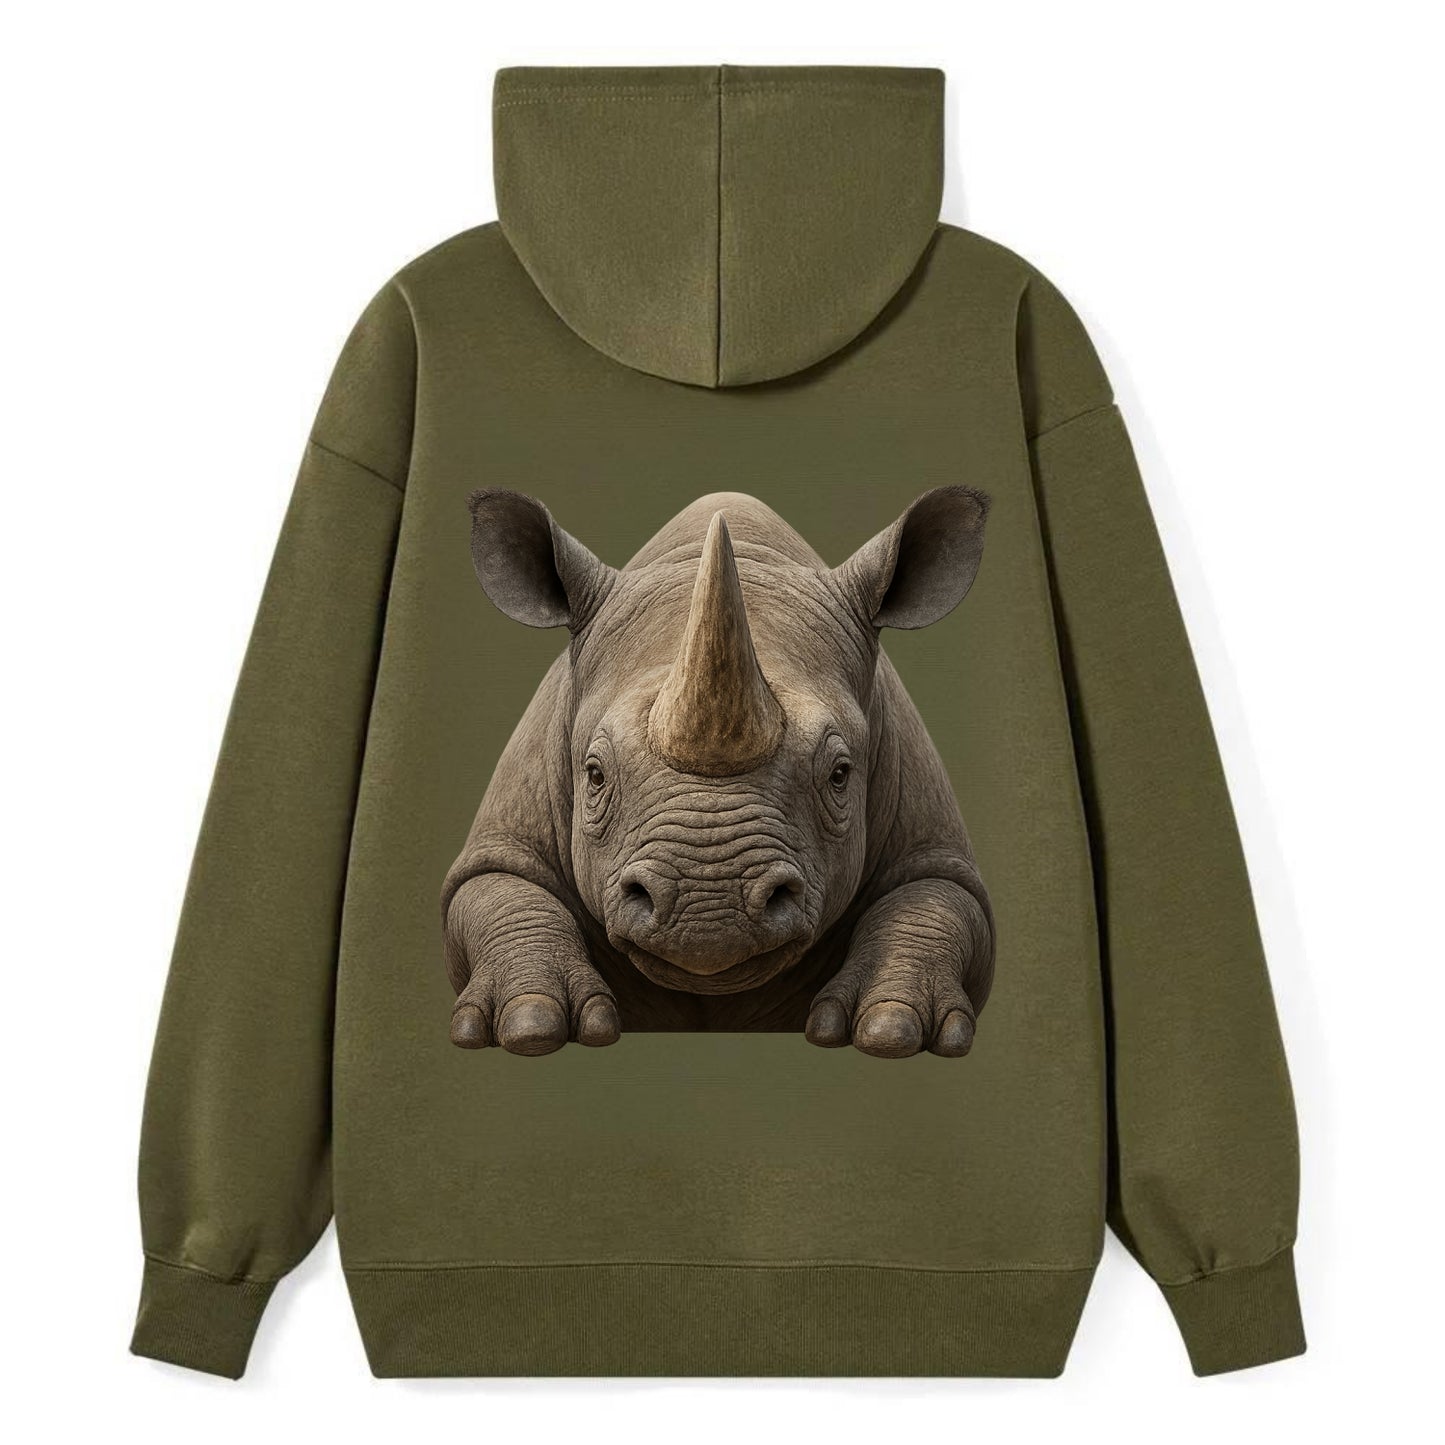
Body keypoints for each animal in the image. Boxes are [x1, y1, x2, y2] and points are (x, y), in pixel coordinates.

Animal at [442, 488, 995, 1059]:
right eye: (594, 775)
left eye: (840, 775)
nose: (709, 912)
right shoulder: (505, 838)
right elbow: (499, 889)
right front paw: (530, 1025)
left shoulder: (931, 843)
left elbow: (934, 899)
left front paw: (891, 1029)